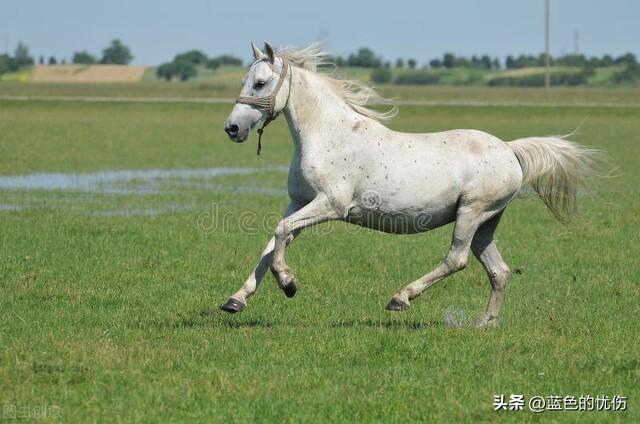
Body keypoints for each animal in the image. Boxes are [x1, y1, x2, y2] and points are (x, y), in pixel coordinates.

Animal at [221, 43, 600, 326]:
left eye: (259, 83)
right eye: (243, 81)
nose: (232, 129)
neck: (327, 136)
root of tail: (510, 150)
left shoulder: (330, 205)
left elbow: (281, 233)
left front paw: (289, 284)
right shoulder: (299, 203)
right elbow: (272, 243)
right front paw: (235, 300)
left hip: (471, 212)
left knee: (456, 259)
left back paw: (400, 298)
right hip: (486, 222)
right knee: (499, 271)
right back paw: (484, 323)